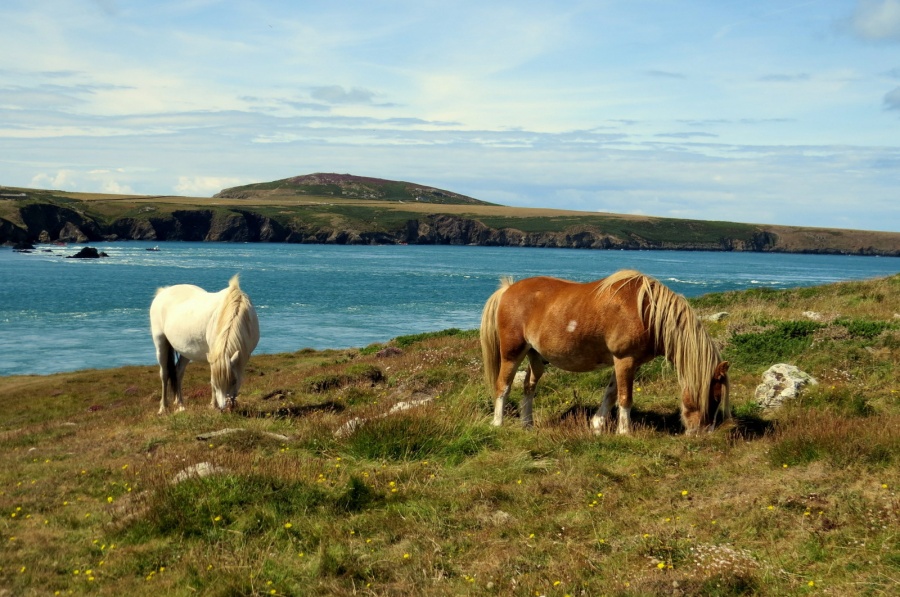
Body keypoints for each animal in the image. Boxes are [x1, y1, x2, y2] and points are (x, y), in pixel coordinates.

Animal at [150, 274, 260, 414]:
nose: (225, 408)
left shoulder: (245, 355)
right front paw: (214, 405)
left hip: (186, 351)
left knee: (178, 372)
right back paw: (163, 408)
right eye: (217, 383)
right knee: (164, 374)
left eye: (234, 381)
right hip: (160, 342)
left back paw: (180, 405)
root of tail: (163, 292)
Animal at [480, 269, 730, 435]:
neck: (647, 311)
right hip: (512, 353)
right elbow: (625, 398)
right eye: (715, 398)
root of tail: (508, 289)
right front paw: (625, 433)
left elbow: (611, 394)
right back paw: (498, 424)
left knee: (529, 387)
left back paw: (527, 425)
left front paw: (598, 425)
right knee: (503, 386)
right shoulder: (625, 360)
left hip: (535, 357)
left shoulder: (628, 363)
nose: (704, 433)